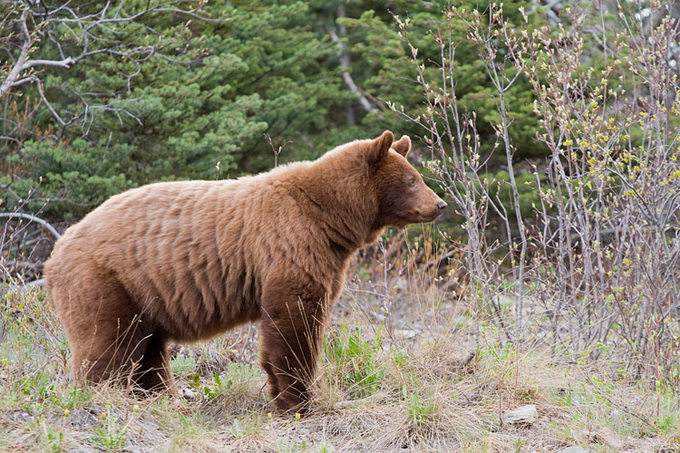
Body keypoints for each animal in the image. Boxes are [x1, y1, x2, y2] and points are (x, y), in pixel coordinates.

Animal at [43, 130, 446, 410]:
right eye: (412, 179)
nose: (440, 204)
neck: (329, 215)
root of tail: (55, 253)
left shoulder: (325, 258)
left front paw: (283, 395)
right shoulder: (290, 244)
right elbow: (294, 323)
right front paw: (299, 399)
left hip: (145, 296)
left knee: (147, 351)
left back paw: (159, 398)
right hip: (106, 281)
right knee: (107, 344)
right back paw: (102, 398)